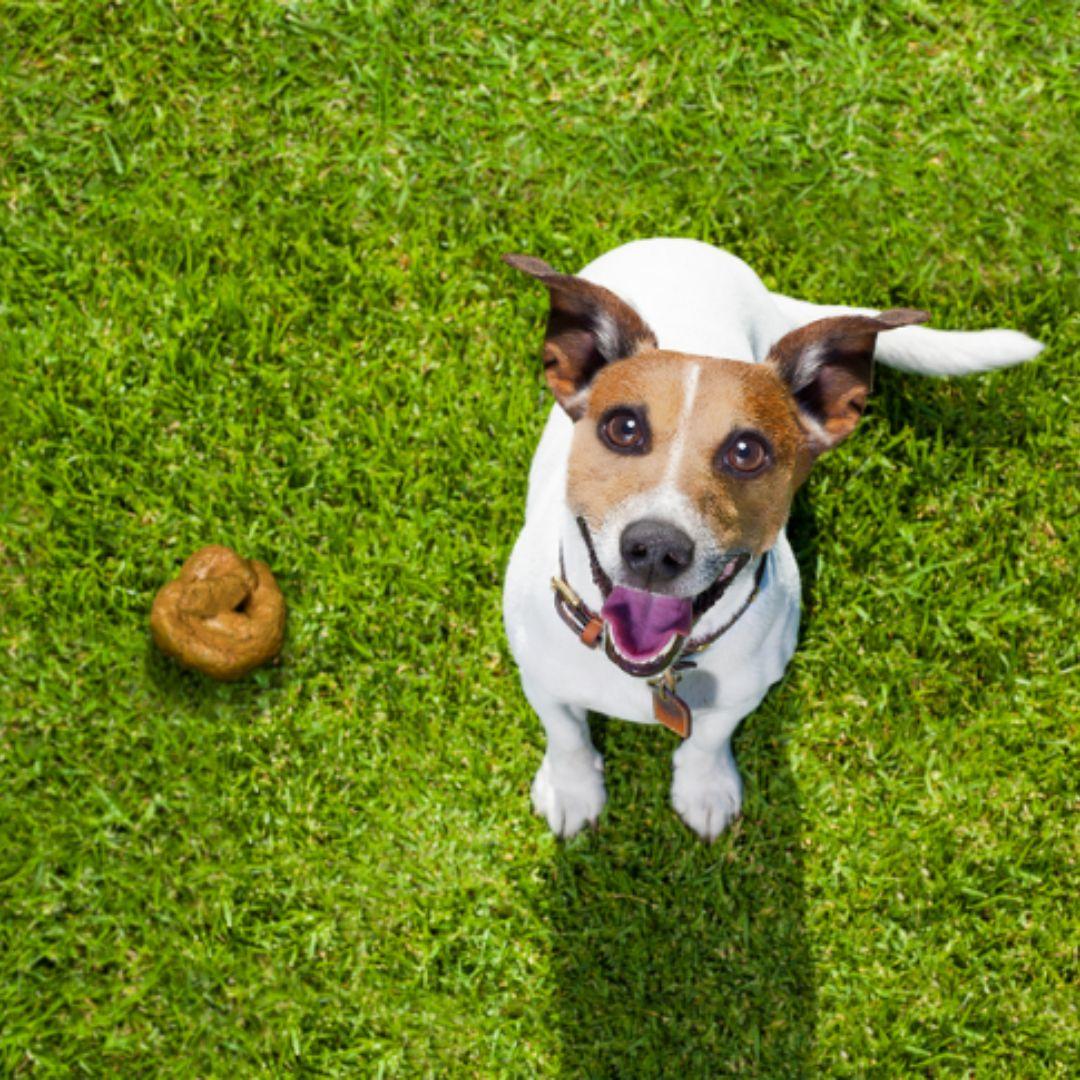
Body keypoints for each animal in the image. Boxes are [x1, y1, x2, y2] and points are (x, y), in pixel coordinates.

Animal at [501, 238, 1041, 842]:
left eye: (746, 452)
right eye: (623, 428)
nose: (656, 549)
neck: (659, 671)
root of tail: (684, 245)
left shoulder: (744, 692)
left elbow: (709, 739)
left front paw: (704, 788)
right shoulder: (539, 676)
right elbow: (565, 732)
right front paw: (572, 789)